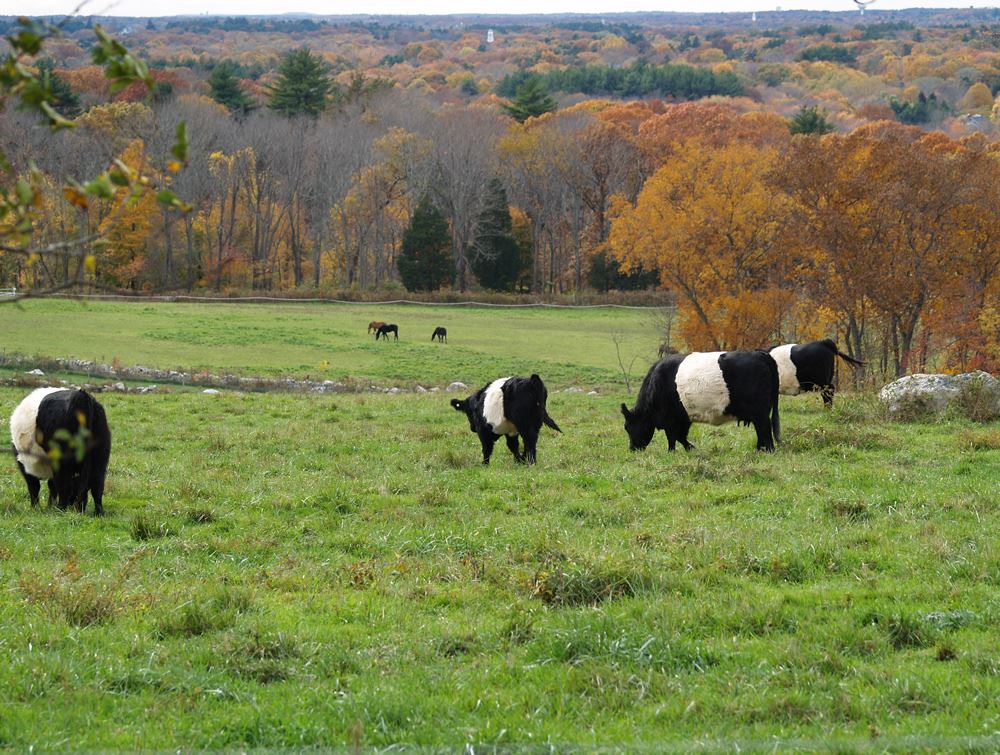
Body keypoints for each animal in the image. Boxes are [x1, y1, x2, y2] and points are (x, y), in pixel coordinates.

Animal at [621, 350, 780, 453]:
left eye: (627, 427)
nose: (632, 449)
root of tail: (762, 354)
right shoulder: (683, 418)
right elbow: (679, 436)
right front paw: (687, 449)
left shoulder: (671, 419)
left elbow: (674, 437)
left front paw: (674, 451)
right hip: (759, 412)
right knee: (761, 430)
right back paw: (759, 450)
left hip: (760, 411)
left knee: (764, 428)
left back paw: (768, 450)